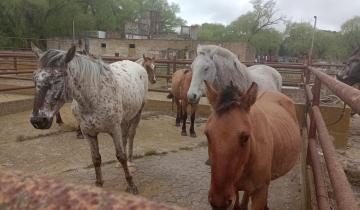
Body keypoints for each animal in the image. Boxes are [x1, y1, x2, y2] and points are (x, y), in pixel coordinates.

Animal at [29, 44, 150, 194]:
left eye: (57, 78)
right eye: (34, 78)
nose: (38, 121)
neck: (94, 98)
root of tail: (137, 65)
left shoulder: (114, 129)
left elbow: (121, 156)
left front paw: (131, 185)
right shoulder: (88, 132)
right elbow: (96, 158)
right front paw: (98, 184)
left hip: (137, 113)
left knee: (131, 136)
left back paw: (131, 161)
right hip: (125, 119)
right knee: (125, 137)